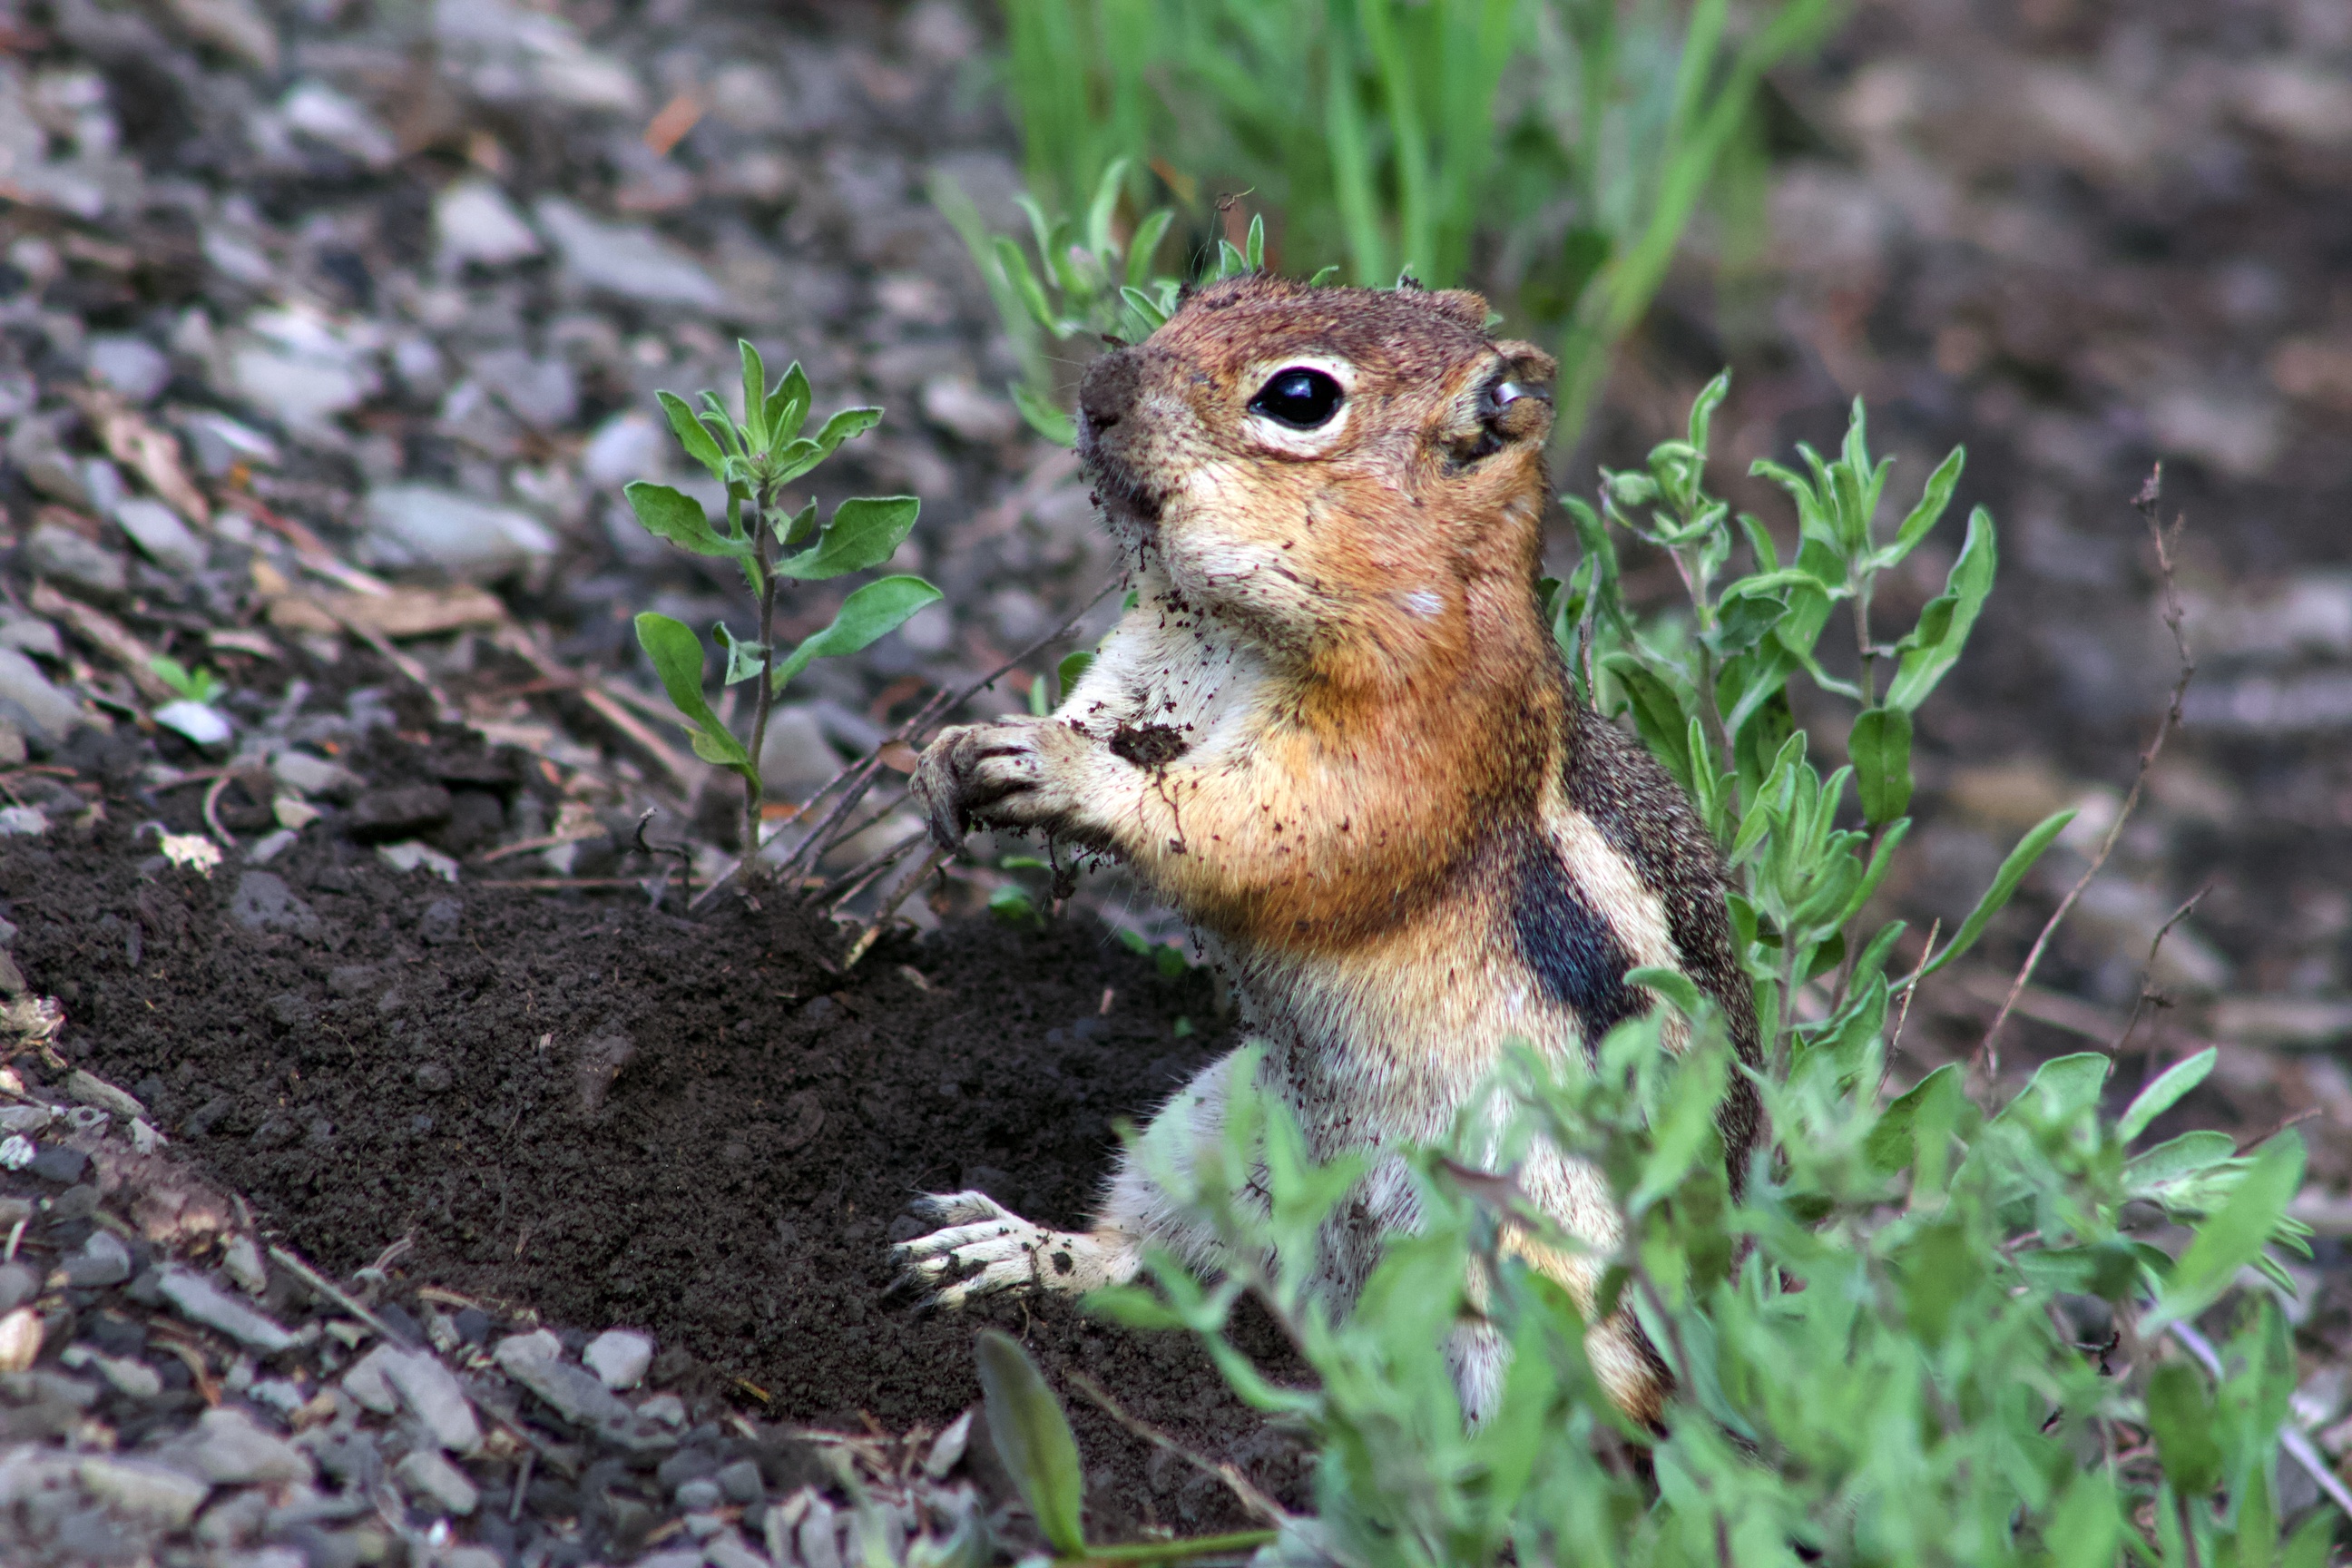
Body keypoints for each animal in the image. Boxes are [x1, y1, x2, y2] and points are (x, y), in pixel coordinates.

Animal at [888, 276, 1759, 1429]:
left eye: (1300, 398)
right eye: (1209, 293)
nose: (1099, 388)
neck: (1233, 629)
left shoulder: (1396, 755)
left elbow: (1254, 834)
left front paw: (1071, 777)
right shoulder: (1141, 664)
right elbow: (1094, 710)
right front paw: (959, 749)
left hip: (1529, 1295)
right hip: (1211, 1130)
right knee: (1156, 1265)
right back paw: (1008, 1251)